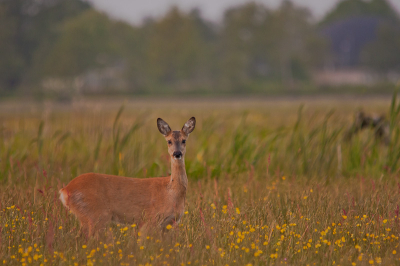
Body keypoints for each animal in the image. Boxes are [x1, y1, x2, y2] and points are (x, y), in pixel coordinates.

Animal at [59, 117, 195, 237]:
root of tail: (65, 190)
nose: (177, 153)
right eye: (169, 141)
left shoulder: (168, 224)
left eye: (184, 140)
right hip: (95, 216)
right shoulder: (150, 220)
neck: (171, 192)